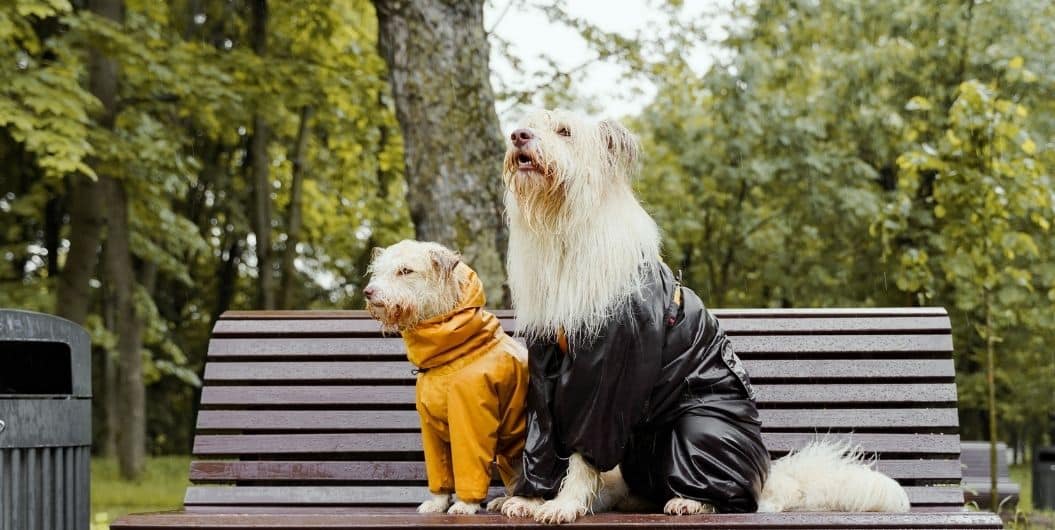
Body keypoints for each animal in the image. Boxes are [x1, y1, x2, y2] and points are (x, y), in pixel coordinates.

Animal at [497, 109, 911, 523]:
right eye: (529, 124)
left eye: (564, 131)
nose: (518, 135)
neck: (564, 231)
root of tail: (766, 477)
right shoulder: (545, 371)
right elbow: (542, 444)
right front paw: (529, 498)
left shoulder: (608, 378)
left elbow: (584, 453)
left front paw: (565, 504)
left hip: (699, 428)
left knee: (732, 496)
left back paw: (691, 499)